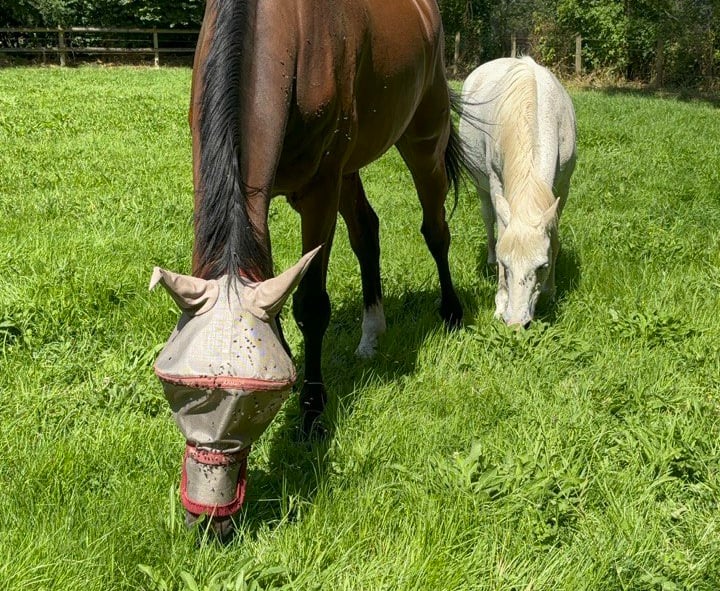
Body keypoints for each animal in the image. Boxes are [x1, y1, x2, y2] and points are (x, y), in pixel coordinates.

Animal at [153, 0, 471, 538]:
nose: (211, 521)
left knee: (435, 228)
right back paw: (371, 333)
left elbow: (310, 306)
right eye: (176, 387)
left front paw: (312, 417)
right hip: (352, 166)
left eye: (260, 398)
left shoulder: (320, 189)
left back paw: (450, 312)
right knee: (367, 231)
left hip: (422, 137)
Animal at [459, 57, 576, 327]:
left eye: (542, 266)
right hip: (481, 186)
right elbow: (501, 232)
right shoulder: (496, 182)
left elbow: (554, 237)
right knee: (488, 218)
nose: (515, 324)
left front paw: (551, 291)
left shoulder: (563, 185)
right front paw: (500, 303)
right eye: (506, 264)